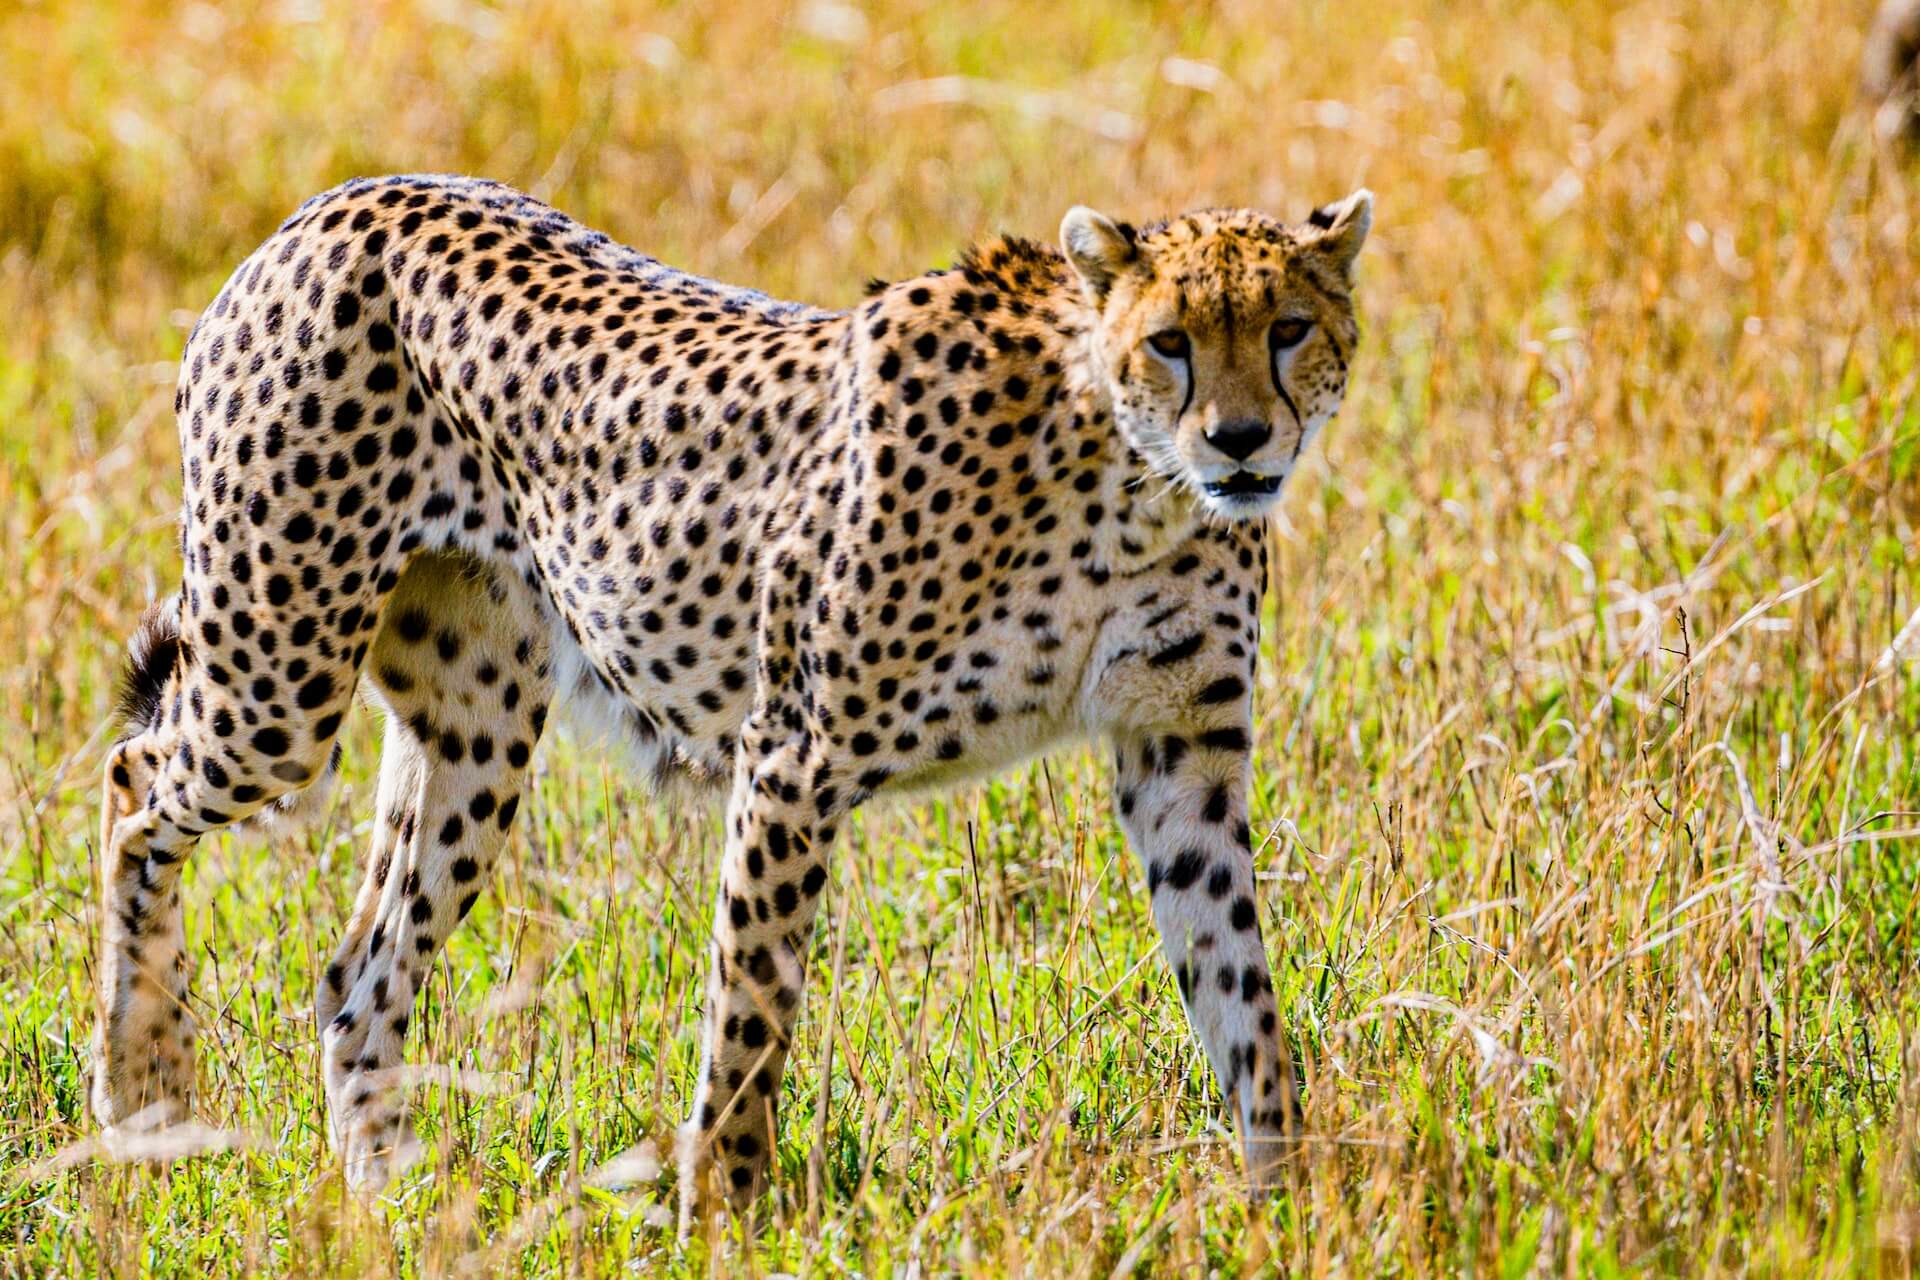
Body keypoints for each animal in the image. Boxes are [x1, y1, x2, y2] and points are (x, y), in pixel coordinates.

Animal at [89, 173, 1373, 1226]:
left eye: (1288, 328)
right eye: (1171, 342)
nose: (1243, 441)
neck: (1129, 480)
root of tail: (335, 204)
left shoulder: (1180, 752)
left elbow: (1242, 992)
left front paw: (1285, 1203)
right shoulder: (795, 754)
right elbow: (751, 1012)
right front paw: (719, 1218)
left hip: (477, 729)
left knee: (357, 975)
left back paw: (394, 1196)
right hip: (280, 679)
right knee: (133, 783)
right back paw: (143, 1087)